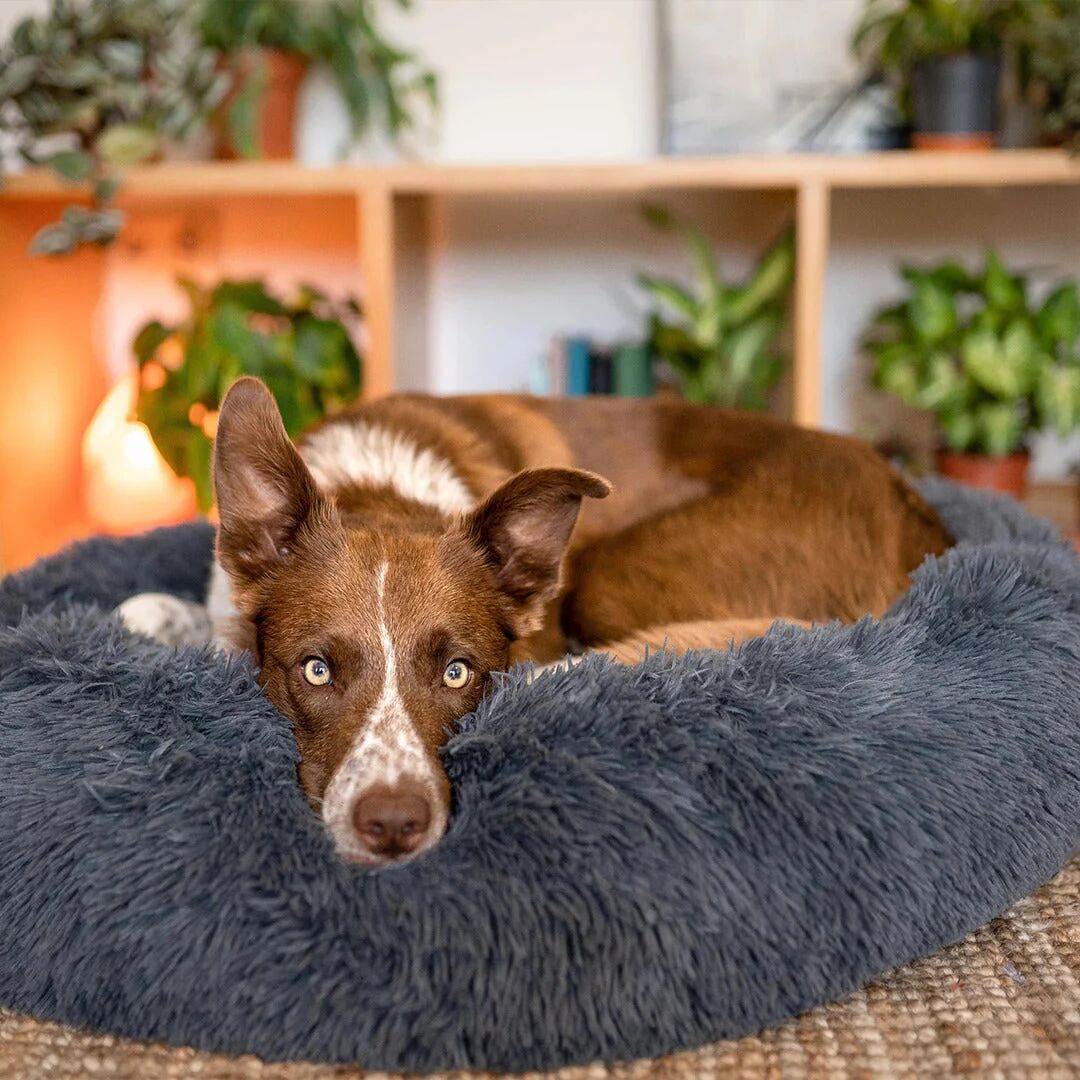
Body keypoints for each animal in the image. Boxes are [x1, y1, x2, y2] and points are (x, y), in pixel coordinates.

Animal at [116, 382, 946, 868]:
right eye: (317, 670)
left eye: (458, 672)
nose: (394, 824)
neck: (382, 487)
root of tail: (916, 516)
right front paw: (158, 615)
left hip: (615, 575)